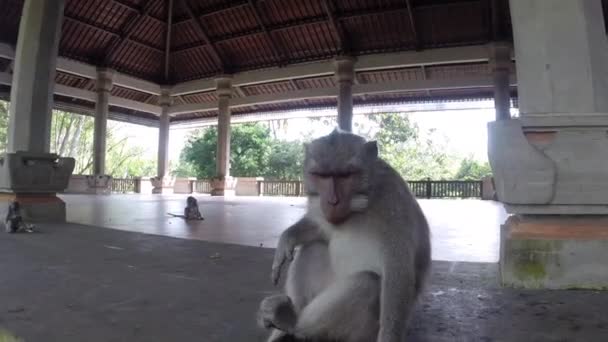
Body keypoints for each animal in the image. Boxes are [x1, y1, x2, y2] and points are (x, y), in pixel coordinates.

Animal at [256, 129, 432, 342]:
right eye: (322, 176)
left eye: (345, 175)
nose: (332, 201)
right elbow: (321, 231)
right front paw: (287, 238)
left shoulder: (393, 203)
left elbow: (398, 270)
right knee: (314, 246)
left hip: (364, 331)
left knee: (368, 283)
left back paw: (289, 320)